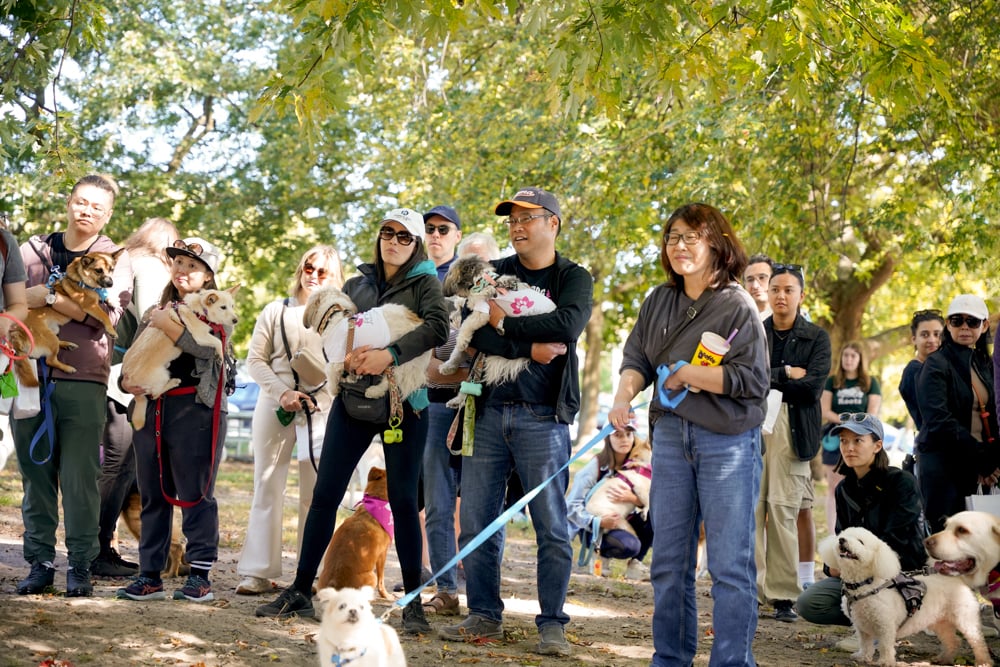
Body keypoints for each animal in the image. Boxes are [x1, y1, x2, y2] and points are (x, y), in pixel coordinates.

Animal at [11, 249, 125, 386]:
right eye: (98, 270)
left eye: (112, 269)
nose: (110, 283)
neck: (82, 280)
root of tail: (16, 334)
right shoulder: (90, 305)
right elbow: (105, 315)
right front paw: (111, 330)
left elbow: (105, 296)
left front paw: (113, 301)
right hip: (49, 338)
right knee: (50, 360)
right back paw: (67, 368)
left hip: (54, 331)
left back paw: (67, 344)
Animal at [123, 286, 240, 430]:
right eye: (223, 307)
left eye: (232, 306)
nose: (236, 320)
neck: (200, 310)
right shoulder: (199, 336)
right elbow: (218, 342)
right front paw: (220, 355)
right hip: (162, 375)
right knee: (155, 394)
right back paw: (173, 382)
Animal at [302, 284, 432, 400]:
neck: (332, 316)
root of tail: (417, 321)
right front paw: (352, 378)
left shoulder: (335, 361)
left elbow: (331, 378)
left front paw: (334, 390)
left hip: (402, 361)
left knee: (391, 380)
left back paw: (374, 391)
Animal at [820, 528, 992, 667]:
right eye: (842, 536)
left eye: (861, 542)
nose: (842, 540)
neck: (865, 585)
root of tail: (957, 578)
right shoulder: (861, 626)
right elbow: (865, 644)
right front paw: (863, 657)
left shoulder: (885, 625)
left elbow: (885, 645)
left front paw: (885, 662)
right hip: (939, 622)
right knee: (953, 640)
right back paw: (944, 659)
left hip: (964, 618)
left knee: (977, 640)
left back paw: (983, 662)